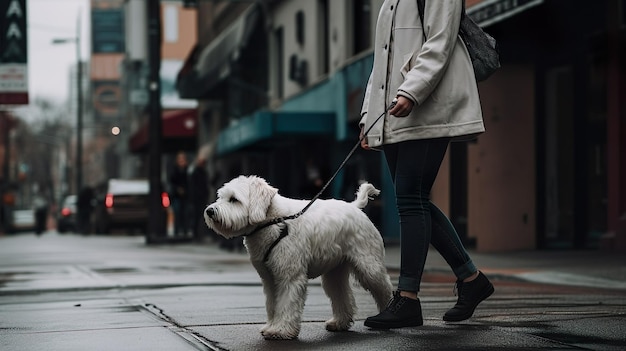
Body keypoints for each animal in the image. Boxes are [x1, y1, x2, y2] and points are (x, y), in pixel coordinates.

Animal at [204, 176, 390, 340]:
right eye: (221, 197)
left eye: (234, 199)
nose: (209, 211)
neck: (274, 221)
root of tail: (355, 207)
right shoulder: (270, 279)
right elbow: (273, 305)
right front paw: (271, 326)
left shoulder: (289, 277)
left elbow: (286, 304)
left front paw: (281, 331)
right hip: (334, 273)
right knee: (342, 295)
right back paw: (339, 323)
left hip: (369, 266)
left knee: (384, 288)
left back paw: (384, 316)